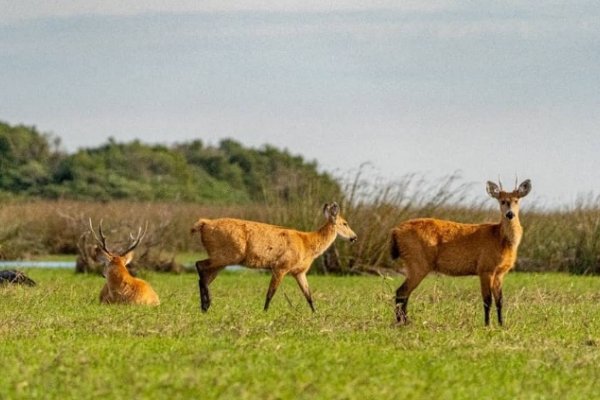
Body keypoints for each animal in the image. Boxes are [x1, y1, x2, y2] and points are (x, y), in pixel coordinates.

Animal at [190, 203, 356, 312]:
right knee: (199, 265)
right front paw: (265, 312)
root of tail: (204, 224)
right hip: (228, 254)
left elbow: (308, 295)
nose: (354, 237)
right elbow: (270, 293)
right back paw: (207, 304)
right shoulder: (281, 266)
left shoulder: (299, 272)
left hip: (223, 259)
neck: (307, 243)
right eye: (345, 223)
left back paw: (204, 307)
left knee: (204, 275)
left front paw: (316, 313)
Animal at [392, 180, 532, 326]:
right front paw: (487, 324)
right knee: (401, 292)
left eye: (516, 200)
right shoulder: (485, 268)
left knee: (403, 293)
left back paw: (404, 321)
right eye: (502, 201)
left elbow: (500, 300)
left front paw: (501, 324)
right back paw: (403, 322)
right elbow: (487, 300)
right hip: (418, 263)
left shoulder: (499, 272)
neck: (501, 240)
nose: (510, 214)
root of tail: (395, 231)